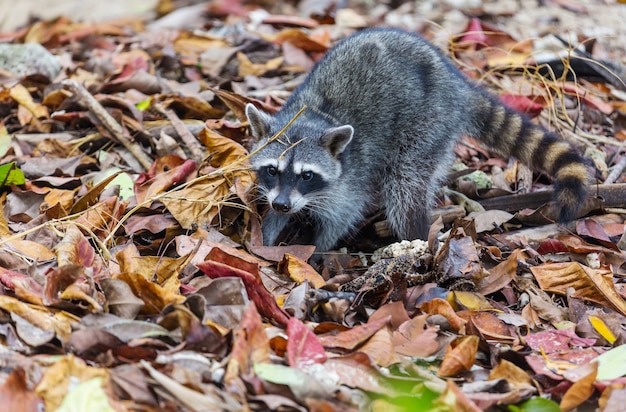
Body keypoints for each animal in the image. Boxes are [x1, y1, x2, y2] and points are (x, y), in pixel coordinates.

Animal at [245, 27, 588, 251]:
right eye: (272, 170)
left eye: (307, 175)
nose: (282, 204)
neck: (313, 118)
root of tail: (456, 84)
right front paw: (268, 238)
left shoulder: (350, 177)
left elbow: (343, 215)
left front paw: (317, 250)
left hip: (428, 124)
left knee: (405, 186)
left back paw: (416, 238)